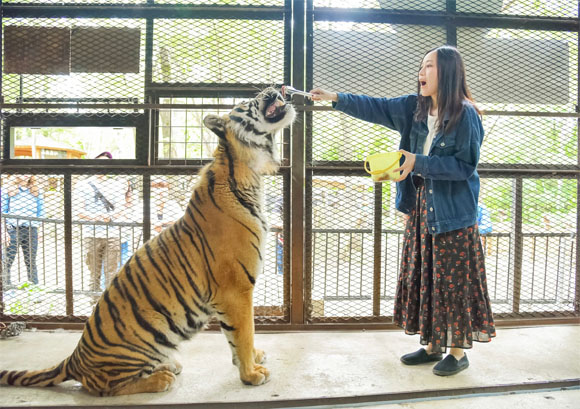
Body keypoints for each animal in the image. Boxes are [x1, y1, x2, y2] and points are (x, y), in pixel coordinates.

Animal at [0, 87, 294, 396]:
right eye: (248, 102)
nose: (275, 89)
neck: (246, 169)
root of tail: (74, 358)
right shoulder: (236, 288)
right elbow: (244, 332)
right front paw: (251, 374)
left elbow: (235, 336)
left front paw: (250, 360)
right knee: (104, 386)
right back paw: (161, 378)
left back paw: (167, 366)